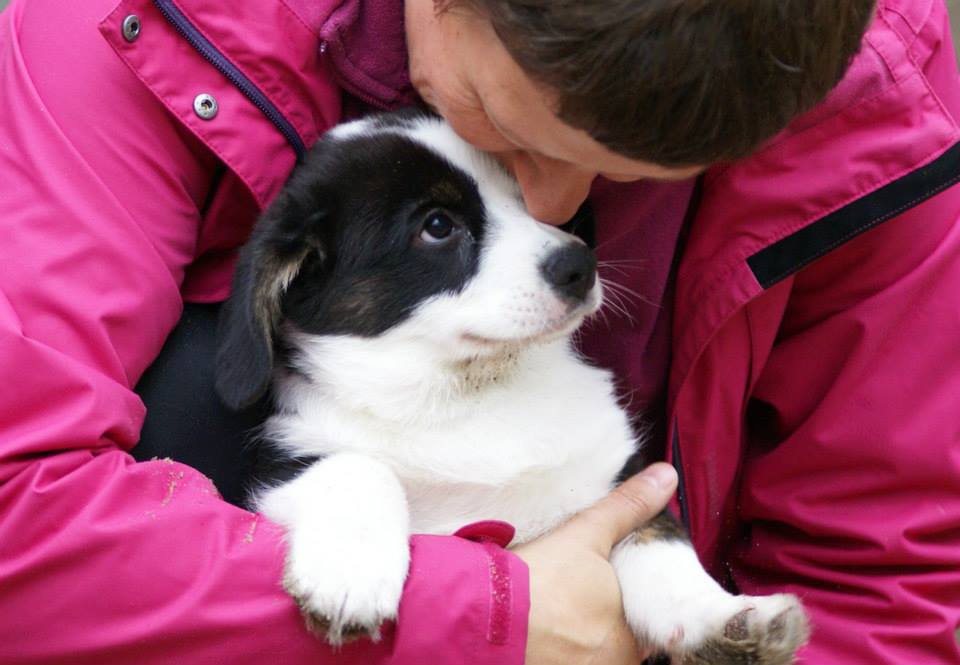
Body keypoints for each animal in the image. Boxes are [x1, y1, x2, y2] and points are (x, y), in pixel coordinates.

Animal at [214, 111, 808, 660]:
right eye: (437, 224)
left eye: (525, 194)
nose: (580, 264)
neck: (472, 390)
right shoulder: (277, 471)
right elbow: (356, 465)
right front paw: (350, 573)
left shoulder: (618, 476)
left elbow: (659, 540)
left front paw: (724, 618)